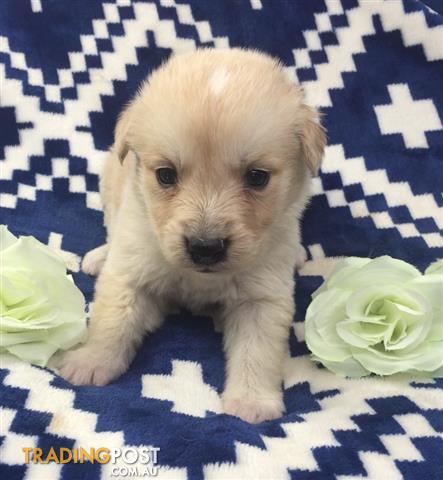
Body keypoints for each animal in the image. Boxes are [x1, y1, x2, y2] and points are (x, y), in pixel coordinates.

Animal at [56, 47, 326, 424]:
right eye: (166, 175)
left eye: (257, 177)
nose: (205, 248)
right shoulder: (131, 267)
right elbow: (112, 320)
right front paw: (90, 362)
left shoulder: (263, 297)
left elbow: (257, 352)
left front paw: (252, 401)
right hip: (110, 180)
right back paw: (98, 256)